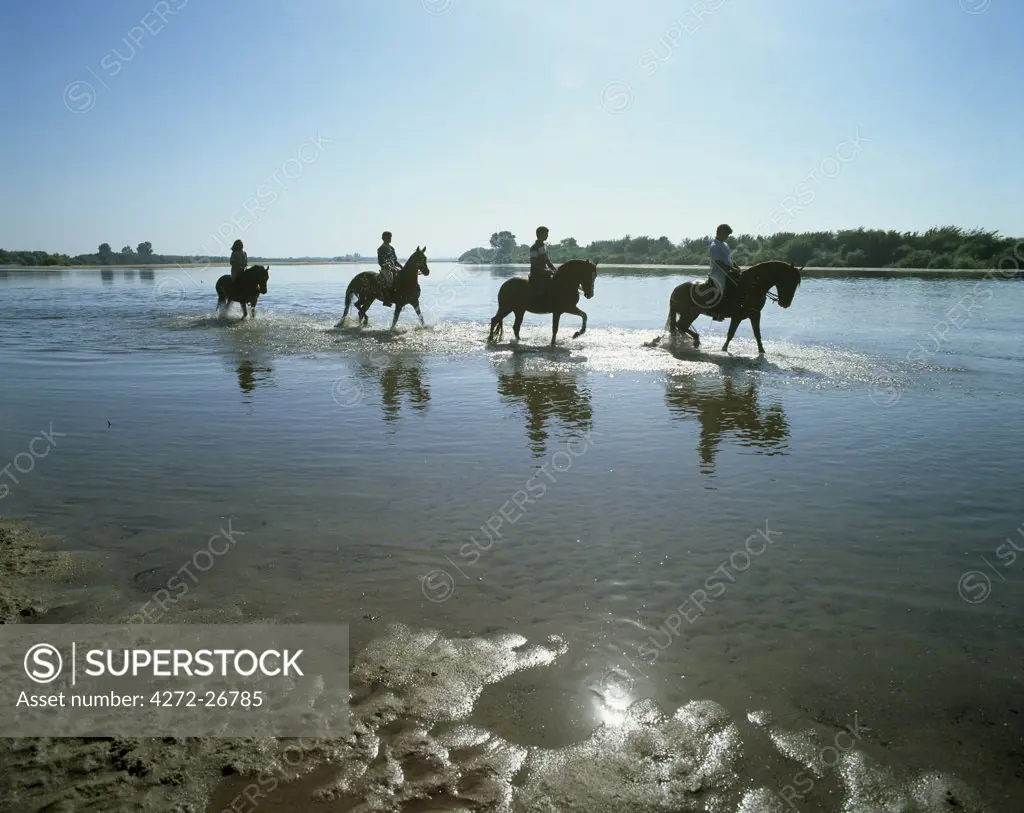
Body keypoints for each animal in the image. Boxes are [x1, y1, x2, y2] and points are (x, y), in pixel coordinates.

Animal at [659, 258, 802, 350]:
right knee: (680, 326)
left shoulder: (755, 315)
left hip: (690, 314)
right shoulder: (737, 316)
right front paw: (724, 349)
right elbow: (731, 334)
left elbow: (757, 335)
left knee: (680, 327)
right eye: (789, 281)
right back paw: (695, 340)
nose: (785, 303)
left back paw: (693, 341)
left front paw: (762, 352)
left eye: (796, 283)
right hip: (690, 314)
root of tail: (676, 290)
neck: (752, 287)